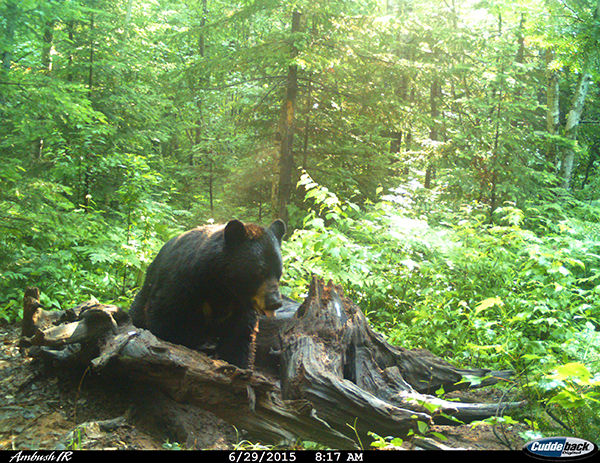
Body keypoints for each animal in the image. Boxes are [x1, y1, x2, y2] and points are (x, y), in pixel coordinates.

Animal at [130, 219, 284, 368]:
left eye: (279, 273)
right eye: (259, 272)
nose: (275, 302)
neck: (222, 287)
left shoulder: (240, 308)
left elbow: (239, 338)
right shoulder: (182, 286)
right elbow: (165, 319)